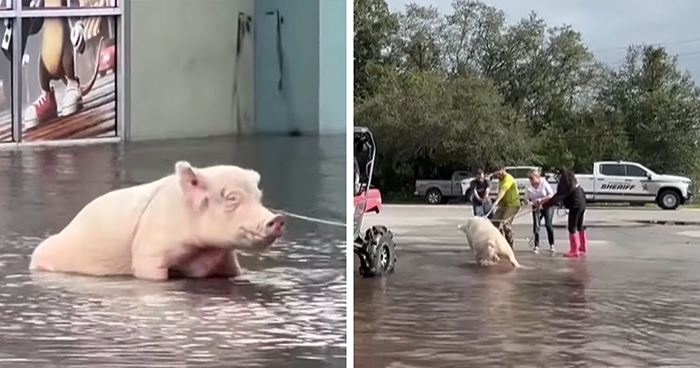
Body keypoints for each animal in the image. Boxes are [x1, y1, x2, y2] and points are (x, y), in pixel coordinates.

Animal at [27, 161, 284, 282]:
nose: (278, 218)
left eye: (259, 196)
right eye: (232, 198)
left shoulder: (225, 258)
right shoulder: (148, 251)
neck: (200, 252)